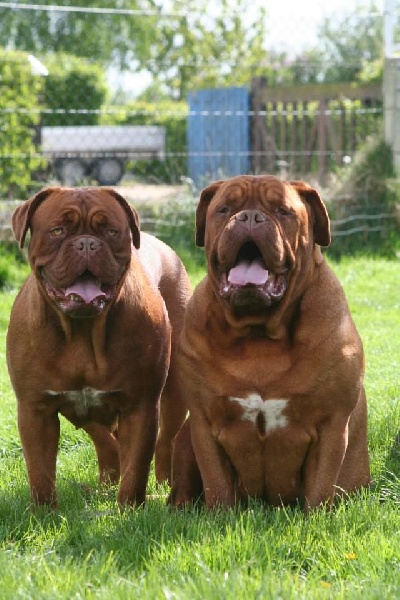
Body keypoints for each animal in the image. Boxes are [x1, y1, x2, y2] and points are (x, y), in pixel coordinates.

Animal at [6, 186, 192, 506]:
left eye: (110, 231)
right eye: (57, 231)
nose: (86, 244)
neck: (82, 332)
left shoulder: (140, 406)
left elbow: (136, 466)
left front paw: (129, 507)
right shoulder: (35, 410)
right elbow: (40, 471)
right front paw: (44, 512)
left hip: (174, 391)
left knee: (166, 439)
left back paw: (164, 484)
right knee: (103, 438)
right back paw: (107, 481)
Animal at [170, 173, 372, 510]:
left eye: (283, 211)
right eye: (224, 209)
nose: (251, 217)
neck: (259, 335)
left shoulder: (331, 423)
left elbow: (320, 486)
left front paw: (314, 517)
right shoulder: (203, 422)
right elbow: (216, 483)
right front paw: (219, 516)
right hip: (185, 436)